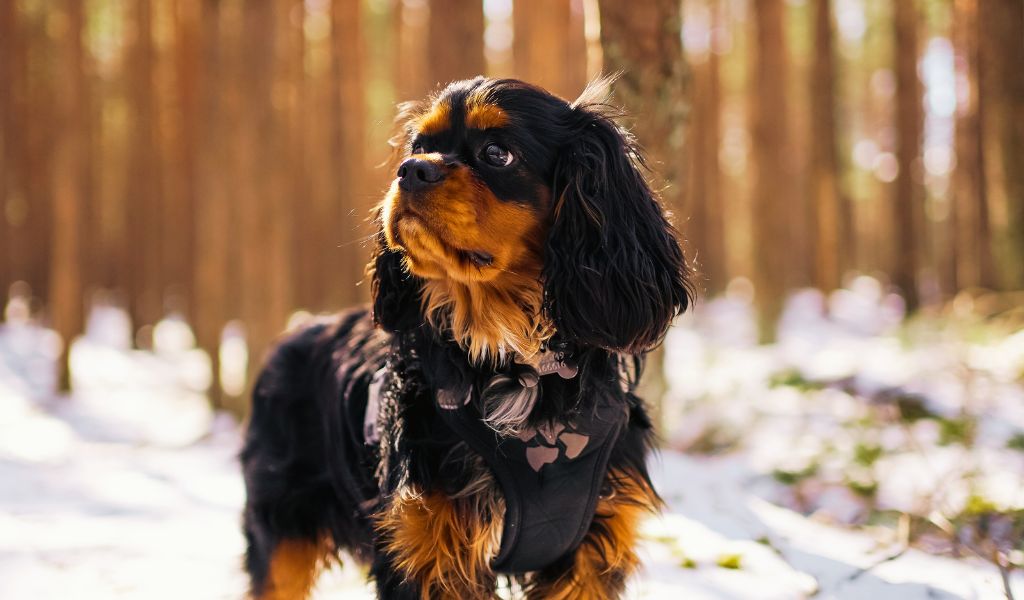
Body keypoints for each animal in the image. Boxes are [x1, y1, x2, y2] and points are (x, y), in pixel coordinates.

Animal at [241, 77, 688, 593]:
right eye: (419, 148)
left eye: (497, 153)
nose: (411, 170)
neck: (516, 360)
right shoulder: (427, 550)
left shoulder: (588, 558)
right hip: (282, 544)